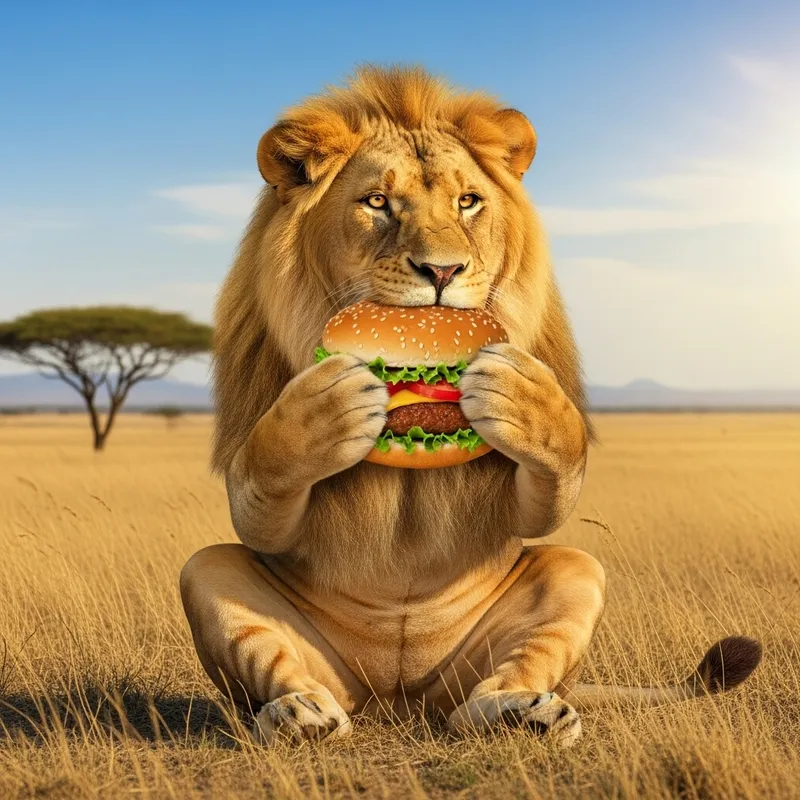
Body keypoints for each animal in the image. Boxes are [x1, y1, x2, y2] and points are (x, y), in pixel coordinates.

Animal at [180, 65, 761, 747]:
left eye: (467, 202)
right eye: (377, 202)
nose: (442, 271)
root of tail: (397, 705)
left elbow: (541, 496)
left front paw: (524, 398)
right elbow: (263, 507)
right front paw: (324, 407)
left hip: (561, 587)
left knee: (497, 680)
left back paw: (519, 713)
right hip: (221, 584)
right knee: (259, 632)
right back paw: (299, 715)